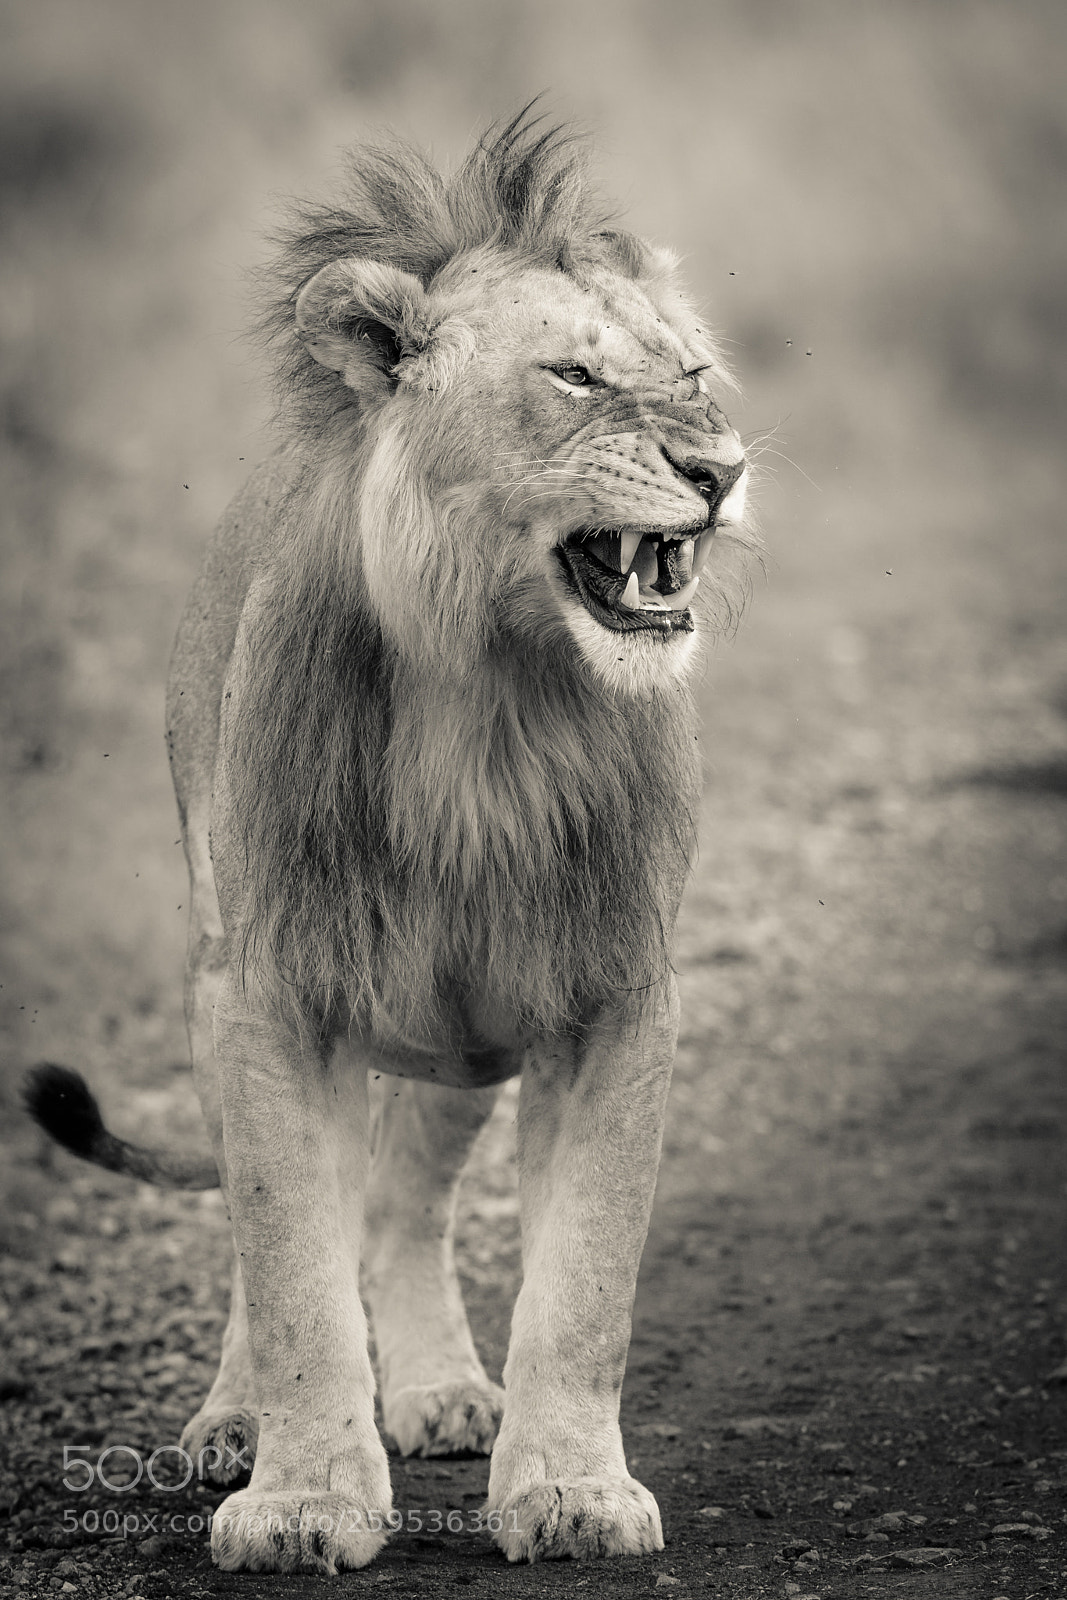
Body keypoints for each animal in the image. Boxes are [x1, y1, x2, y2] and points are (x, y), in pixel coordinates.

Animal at [25, 111, 751, 1574]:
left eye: (692, 372)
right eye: (574, 374)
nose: (720, 471)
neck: (494, 700)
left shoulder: (611, 992)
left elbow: (583, 1281)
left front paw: (569, 1489)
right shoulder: (271, 988)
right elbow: (291, 1266)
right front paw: (301, 1498)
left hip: (460, 1024)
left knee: (406, 1198)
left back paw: (440, 1388)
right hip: (228, 979)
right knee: (274, 1227)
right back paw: (235, 1422)